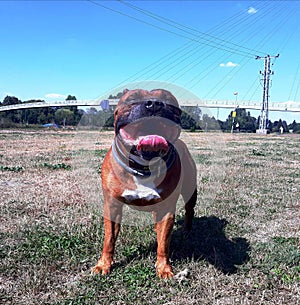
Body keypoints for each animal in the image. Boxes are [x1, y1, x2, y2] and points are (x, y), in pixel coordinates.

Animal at [93, 88, 197, 278]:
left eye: (168, 99)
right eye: (133, 98)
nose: (154, 104)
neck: (143, 166)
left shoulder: (167, 209)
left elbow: (164, 243)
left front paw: (164, 268)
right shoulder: (112, 206)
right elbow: (109, 239)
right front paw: (104, 264)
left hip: (190, 190)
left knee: (189, 209)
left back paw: (186, 230)